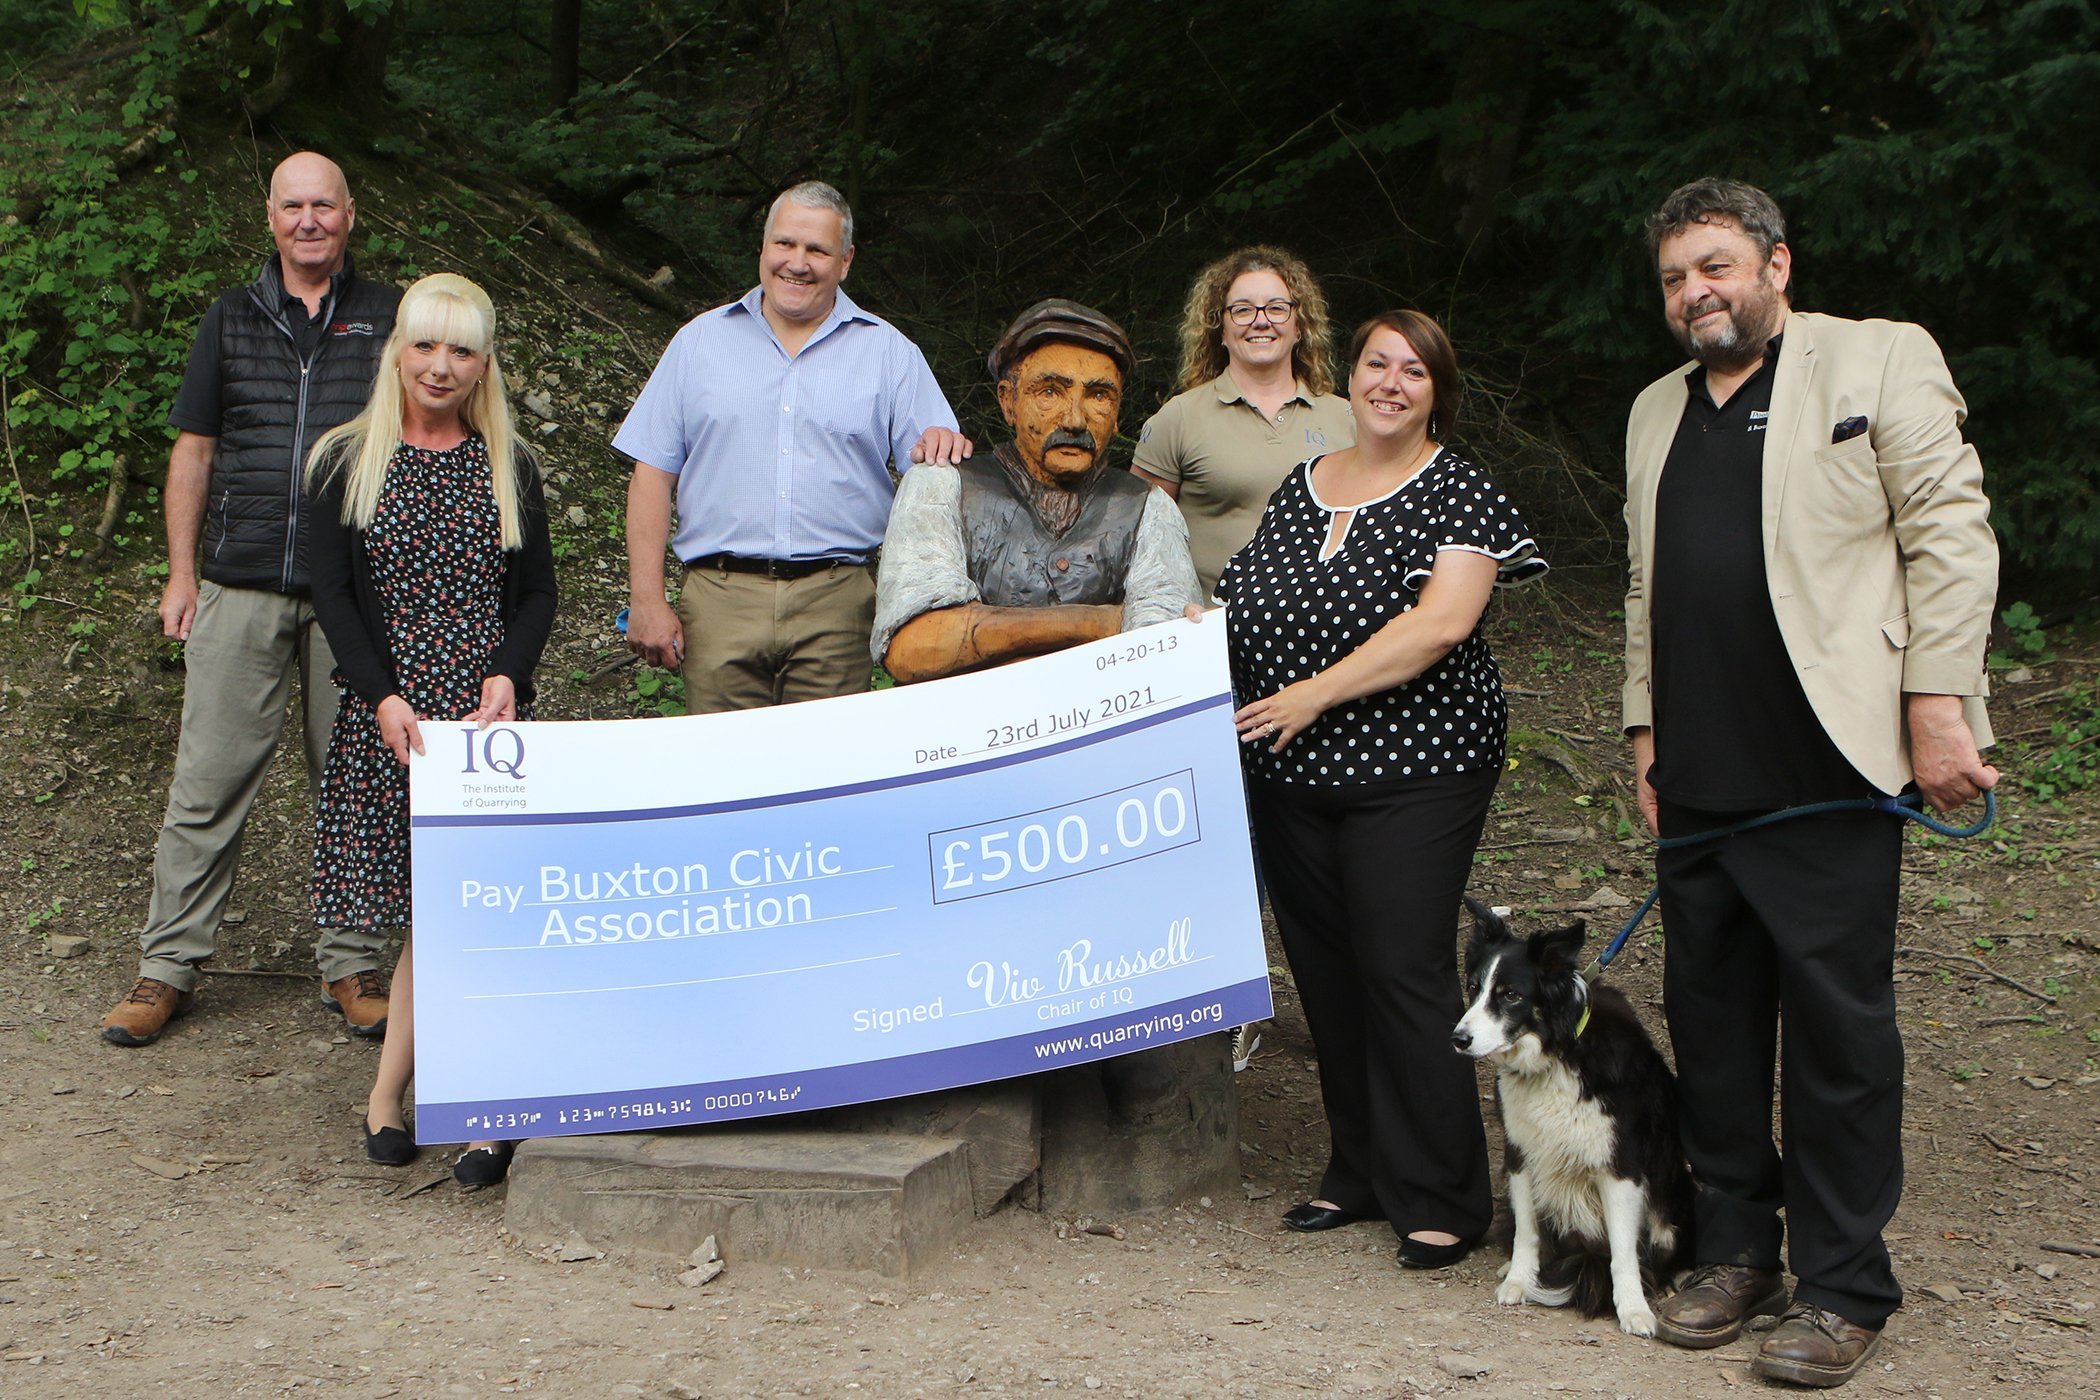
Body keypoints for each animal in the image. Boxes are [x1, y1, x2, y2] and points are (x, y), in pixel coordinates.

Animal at [1453, 898, 1696, 1334]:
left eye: (1510, 995)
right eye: (1474, 988)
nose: (1458, 1039)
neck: (1555, 1055)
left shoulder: (1620, 1165)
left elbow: (1623, 1251)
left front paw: (1633, 1309)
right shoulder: (1521, 1153)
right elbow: (1527, 1232)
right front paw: (1519, 1280)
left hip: (1673, 1200)